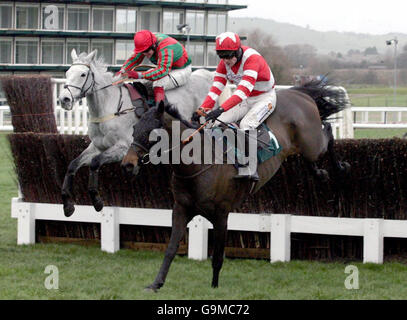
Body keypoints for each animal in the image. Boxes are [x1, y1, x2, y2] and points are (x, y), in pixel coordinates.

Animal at [59, 48, 215, 216]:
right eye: (67, 72)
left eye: (82, 74)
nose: (64, 99)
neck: (110, 107)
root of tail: (207, 75)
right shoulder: (97, 146)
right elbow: (73, 164)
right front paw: (67, 204)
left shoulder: (123, 148)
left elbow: (95, 162)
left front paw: (97, 200)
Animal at [121, 79, 350, 290]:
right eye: (134, 128)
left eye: (152, 132)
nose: (127, 164)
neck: (197, 165)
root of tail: (298, 93)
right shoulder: (181, 209)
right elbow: (170, 249)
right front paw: (156, 283)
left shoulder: (221, 214)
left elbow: (217, 256)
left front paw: (214, 286)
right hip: (301, 147)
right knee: (310, 154)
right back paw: (320, 173)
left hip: (312, 143)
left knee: (328, 131)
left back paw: (341, 167)